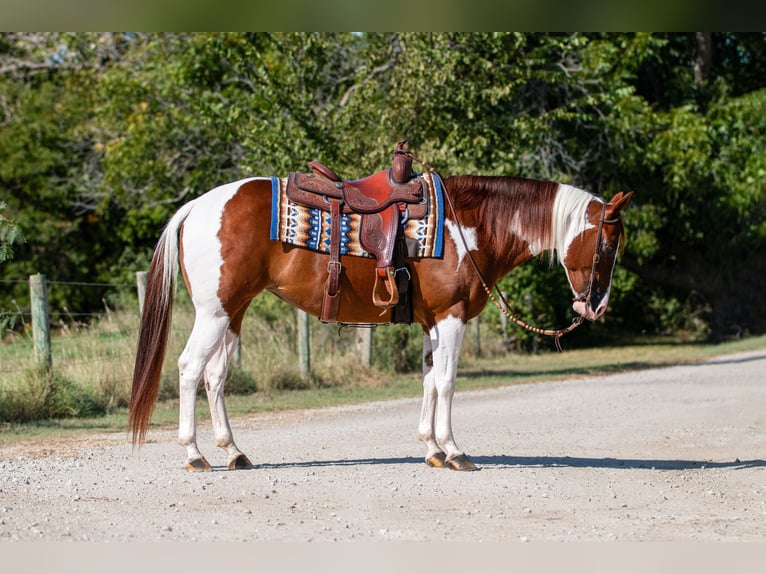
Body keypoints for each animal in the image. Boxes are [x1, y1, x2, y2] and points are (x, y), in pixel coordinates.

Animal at [132, 153, 632, 472]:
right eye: (609, 244)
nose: (597, 305)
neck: (467, 227)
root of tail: (196, 207)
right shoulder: (451, 318)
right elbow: (447, 382)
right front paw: (454, 451)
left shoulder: (433, 323)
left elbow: (429, 380)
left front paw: (431, 449)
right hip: (213, 313)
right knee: (189, 369)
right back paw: (194, 455)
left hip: (233, 311)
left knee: (216, 376)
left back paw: (233, 453)